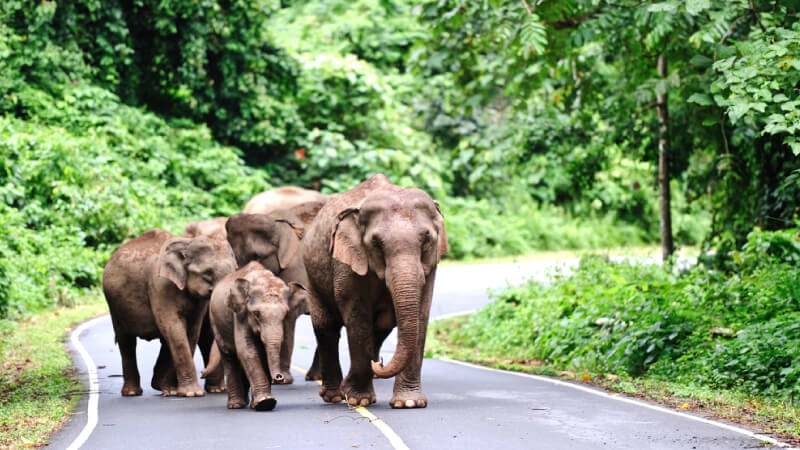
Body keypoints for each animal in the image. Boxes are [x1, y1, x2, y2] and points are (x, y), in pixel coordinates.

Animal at [102, 230, 238, 396]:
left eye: (236, 269)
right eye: (207, 274)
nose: (202, 373)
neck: (187, 242)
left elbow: (191, 331)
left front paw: (174, 390)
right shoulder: (159, 285)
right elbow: (174, 328)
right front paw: (191, 393)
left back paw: (166, 387)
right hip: (114, 306)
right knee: (126, 341)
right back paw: (133, 392)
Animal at [209, 260, 310, 412]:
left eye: (285, 314)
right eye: (256, 313)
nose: (279, 377)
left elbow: (262, 353)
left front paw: (264, 403)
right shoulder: (240, 314)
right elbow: (247, 349)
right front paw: (265, 403)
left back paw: (247, 403)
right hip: (215, 321)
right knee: (229, 355)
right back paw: (235, 405)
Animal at [223, 199, 326, 382]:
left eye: (256, 256)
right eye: (234, 256)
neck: (274, 219)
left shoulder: (298, 265)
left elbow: (289, 315)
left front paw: (283, 379)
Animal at [302, 174, 446, 410]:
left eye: (426, 240)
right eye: (376, 244)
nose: (380, 363)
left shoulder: (431, 265)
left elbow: (421, 314)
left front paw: (409, 403)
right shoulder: (347, 263)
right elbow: (357, 316)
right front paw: (359, 399)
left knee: (381, 326)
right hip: (313, 278)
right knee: (326, 327)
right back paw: (334, 396)